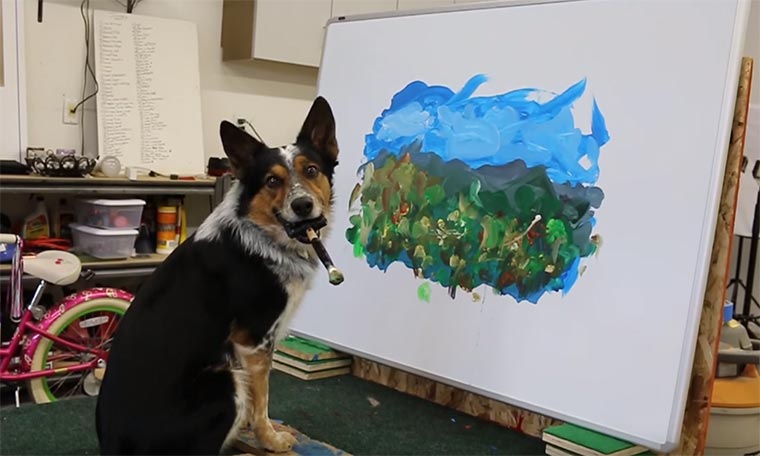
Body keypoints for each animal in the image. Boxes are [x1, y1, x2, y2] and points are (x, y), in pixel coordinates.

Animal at [96, 97, 339, 455]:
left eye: (311, 170)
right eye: (272, 181)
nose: (303, 206)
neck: (262, 235)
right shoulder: (253, 342)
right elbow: (261, 400)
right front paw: (270, 439)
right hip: (225, 382)